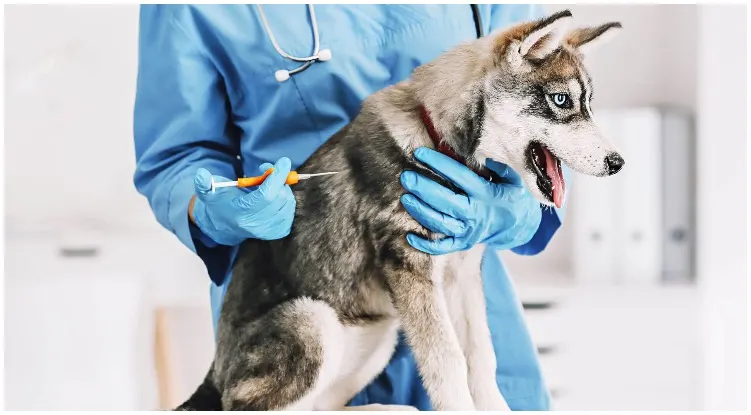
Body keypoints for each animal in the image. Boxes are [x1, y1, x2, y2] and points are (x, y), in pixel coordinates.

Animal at [179, 9, 624, 412]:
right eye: (561, 100)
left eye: (588, 104)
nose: (617, 163)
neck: (438, 141)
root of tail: (213, 377)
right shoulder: (408, 263)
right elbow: (448, 360)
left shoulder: (463, 271)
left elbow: (480, 356)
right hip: (311, 320)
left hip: (381, 332)